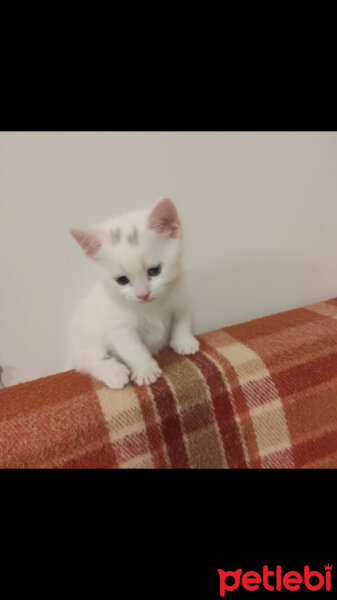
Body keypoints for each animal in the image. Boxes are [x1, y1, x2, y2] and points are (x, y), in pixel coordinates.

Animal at [68, 198, 200, 390]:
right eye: (122, 280)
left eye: (154, 270)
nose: (142, 294)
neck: (150, 306)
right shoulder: (119, 326)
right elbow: (132, 349)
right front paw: (145, 369)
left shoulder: (181, 297)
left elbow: (182, 320)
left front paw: (184, 341)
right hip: (85, 333)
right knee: (90, 360)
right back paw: (114, 372)